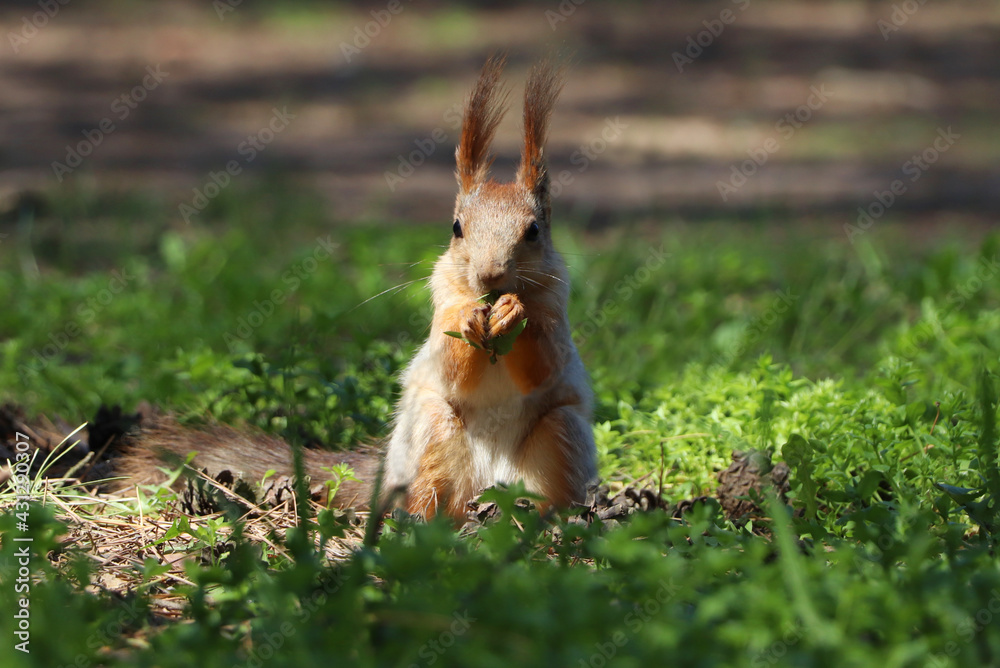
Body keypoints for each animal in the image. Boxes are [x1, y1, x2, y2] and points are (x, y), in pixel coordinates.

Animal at [121, 57, 596, 524]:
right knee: (430, 493)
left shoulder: (556, 311)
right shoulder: (440, 302)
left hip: (561, 433)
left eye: (533, 231)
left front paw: (515, 311)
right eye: (456, 228)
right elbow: (451, 363)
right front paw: (468, 317)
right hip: (430, 432)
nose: (490, 276)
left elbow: (543, 364)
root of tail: (487, 493)